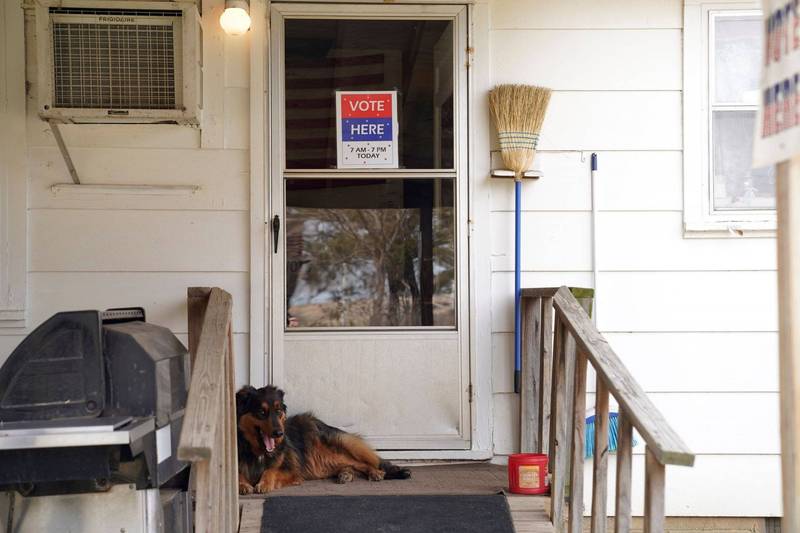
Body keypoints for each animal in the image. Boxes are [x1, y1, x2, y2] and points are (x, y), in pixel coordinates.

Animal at [236, 384, 412, 492]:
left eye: (278, 411)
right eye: (261, 412)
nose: (279, 434)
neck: (257, 451)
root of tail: (320, 423)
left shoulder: (291, 470)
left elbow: (270, 470)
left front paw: (264, 483)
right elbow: (238, 474)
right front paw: (242, 484)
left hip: (325, 454)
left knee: (359, 463)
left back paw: (375, 472)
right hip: (320, 464)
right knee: (349, 465)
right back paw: (346, 474)